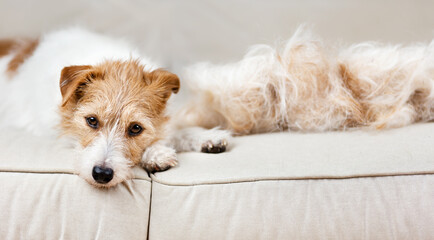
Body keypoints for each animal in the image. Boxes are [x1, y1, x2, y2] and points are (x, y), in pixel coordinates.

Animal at [0, 28, 231, 188]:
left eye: (136, 128)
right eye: (92, 120)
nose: (102, 174)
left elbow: (172, 131)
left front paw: (203, 138)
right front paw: (158, 152)